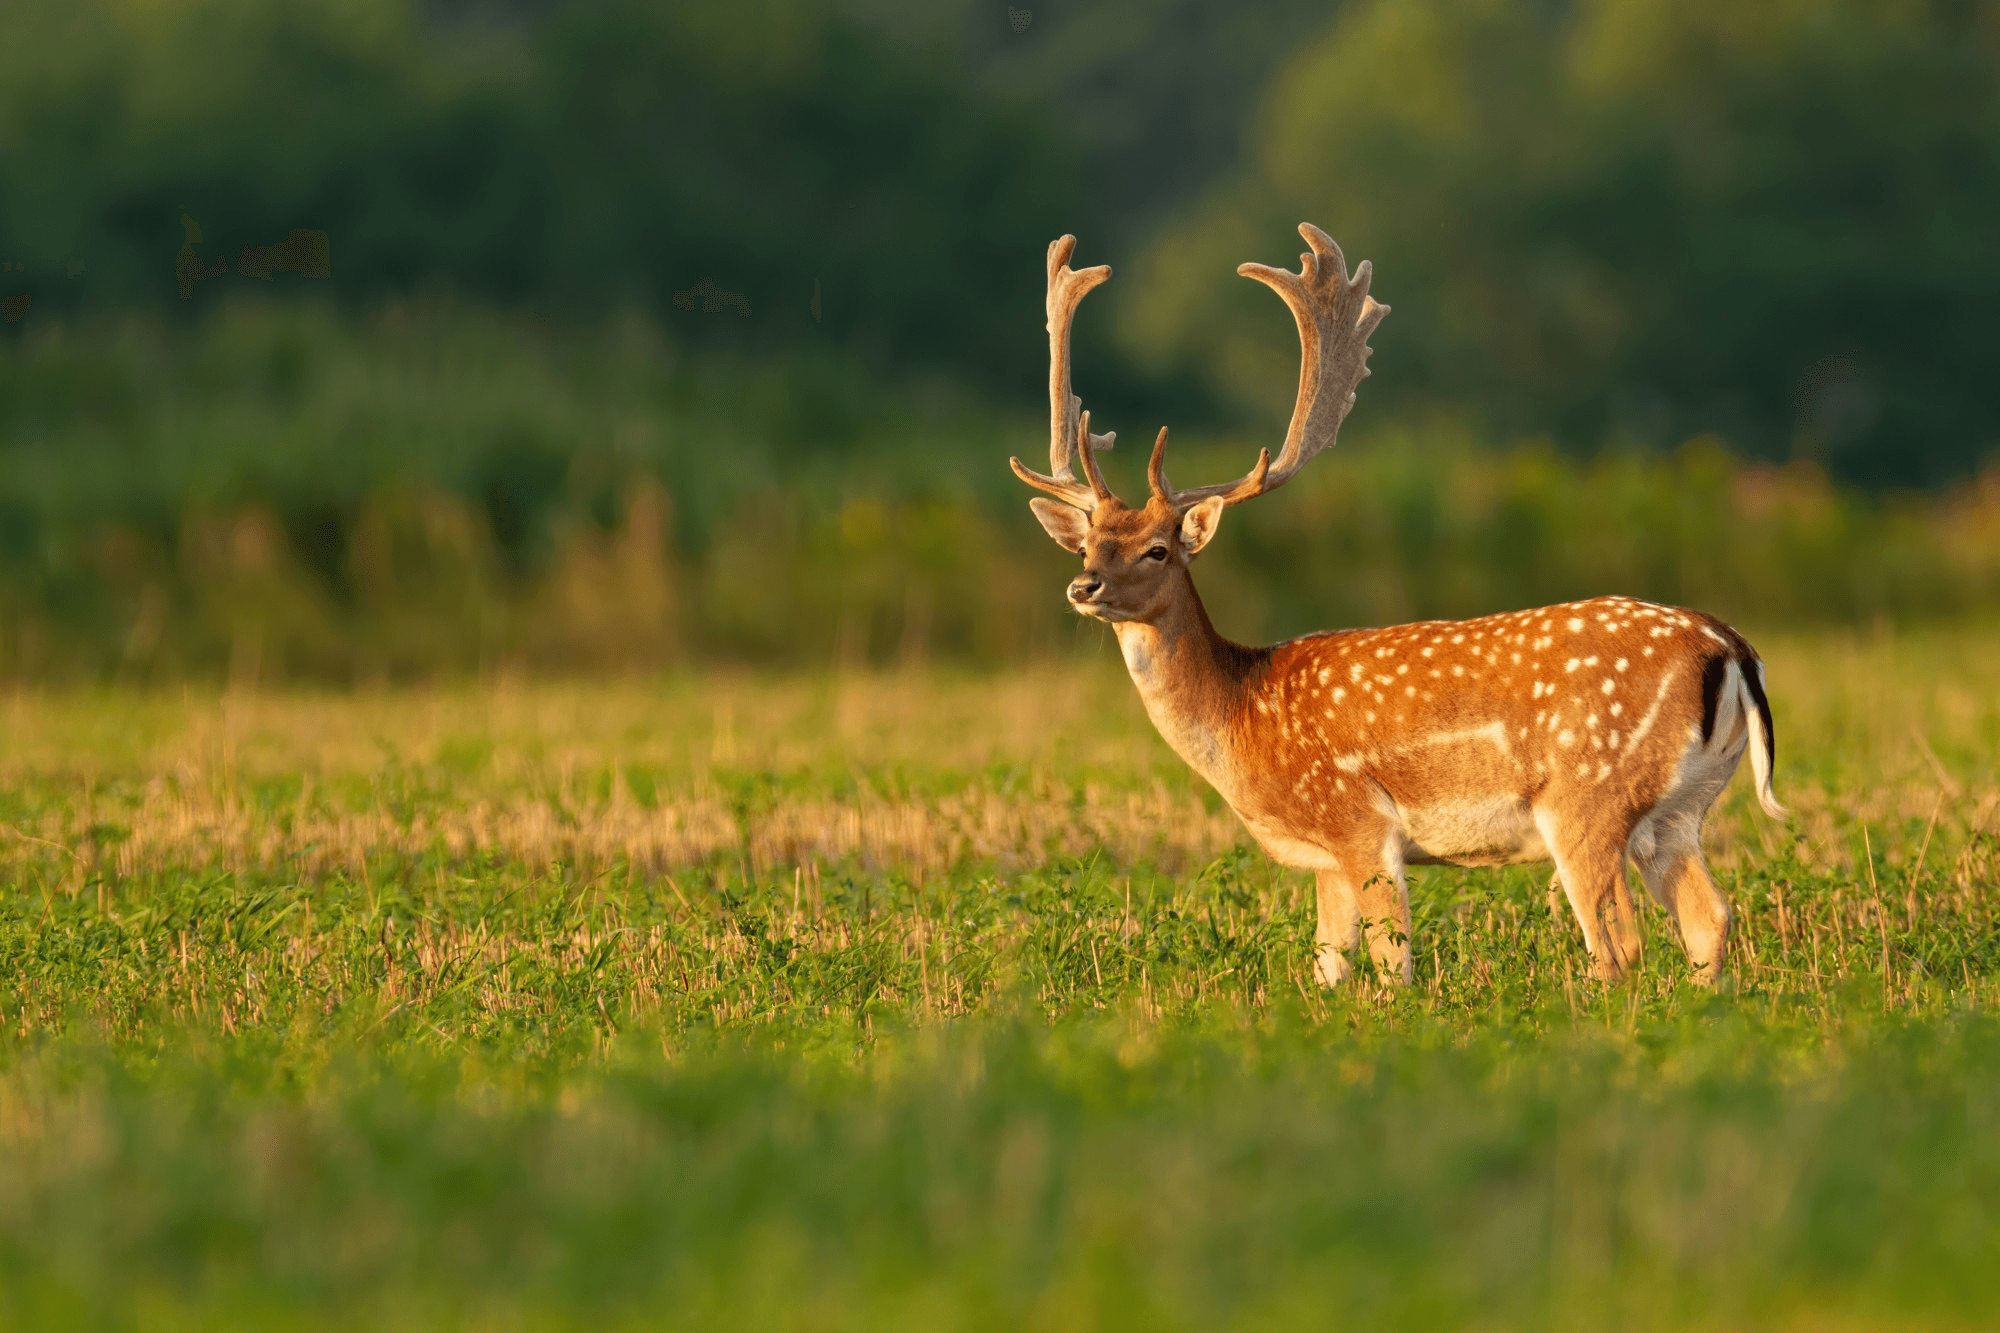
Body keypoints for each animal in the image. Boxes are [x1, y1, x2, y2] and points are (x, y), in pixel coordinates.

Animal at [1012, 224, 1785, 988]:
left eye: (1158, 550)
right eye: (1087, 548)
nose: (1084, 588)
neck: (1240, 717)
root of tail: (1731, 647)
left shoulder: (1358, 822)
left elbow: (1392, 966)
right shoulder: (1324, 858)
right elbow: (1327, 967)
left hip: (1587, 792)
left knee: (1619, 942)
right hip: (1681, 809)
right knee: (1710, 917)